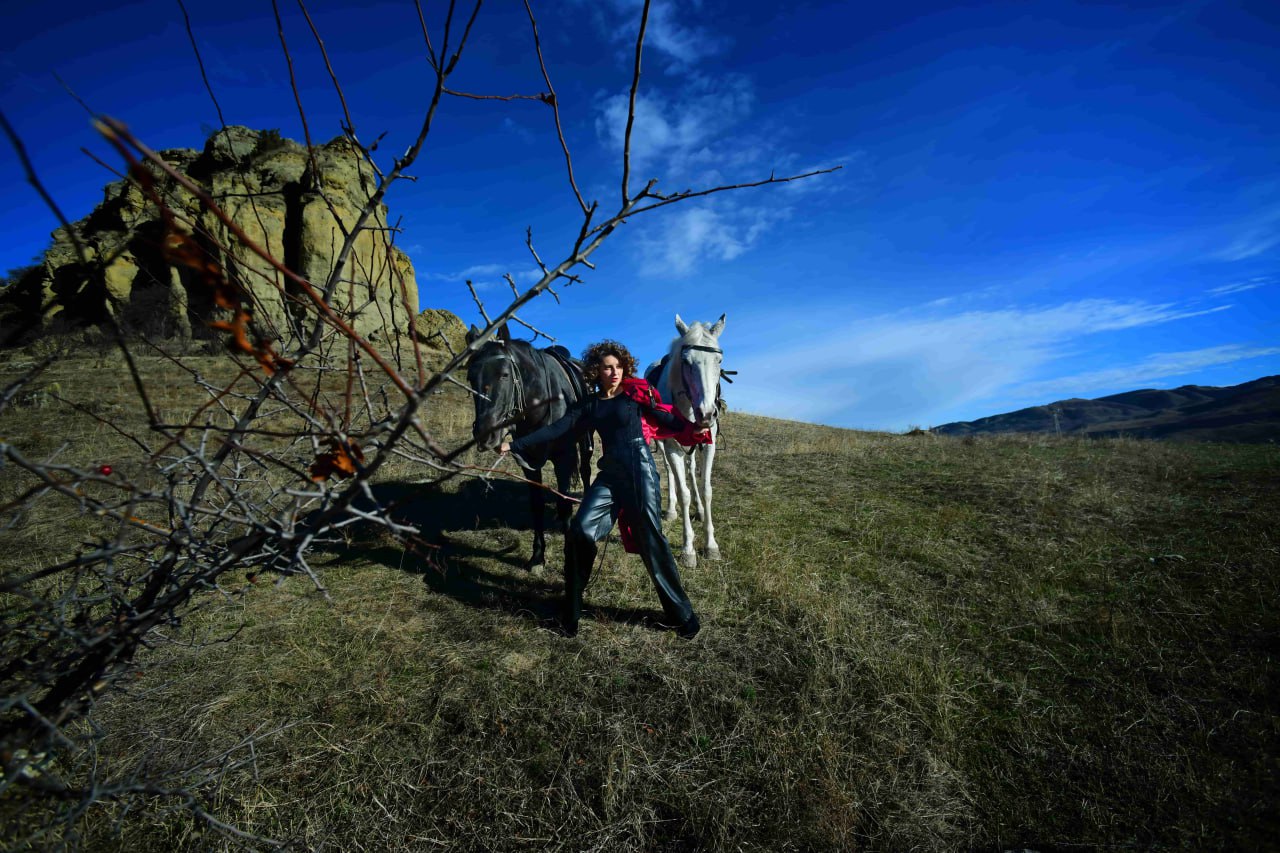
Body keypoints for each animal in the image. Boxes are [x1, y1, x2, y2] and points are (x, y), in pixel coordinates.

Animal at [465, 325, 593, 571]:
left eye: (504, 374)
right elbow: (537, 505)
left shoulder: (563, 458)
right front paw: (538, 556)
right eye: (470, 377)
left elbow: (564, 504)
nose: (486, 435)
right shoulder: (528, 462)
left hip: (585, 440)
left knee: (585, 470)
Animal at [645, 311, 727, 563]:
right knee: (671, 472)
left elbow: (706, 489)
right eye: (686, 362)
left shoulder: (709, 444)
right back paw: (671, 510)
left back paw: (699, 510)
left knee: (691, 469)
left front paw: (711, 545)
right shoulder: (672, 446)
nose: (707, 413)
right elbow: (684, 493)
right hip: (664, 446)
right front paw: (688, 549)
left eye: (719, 361)